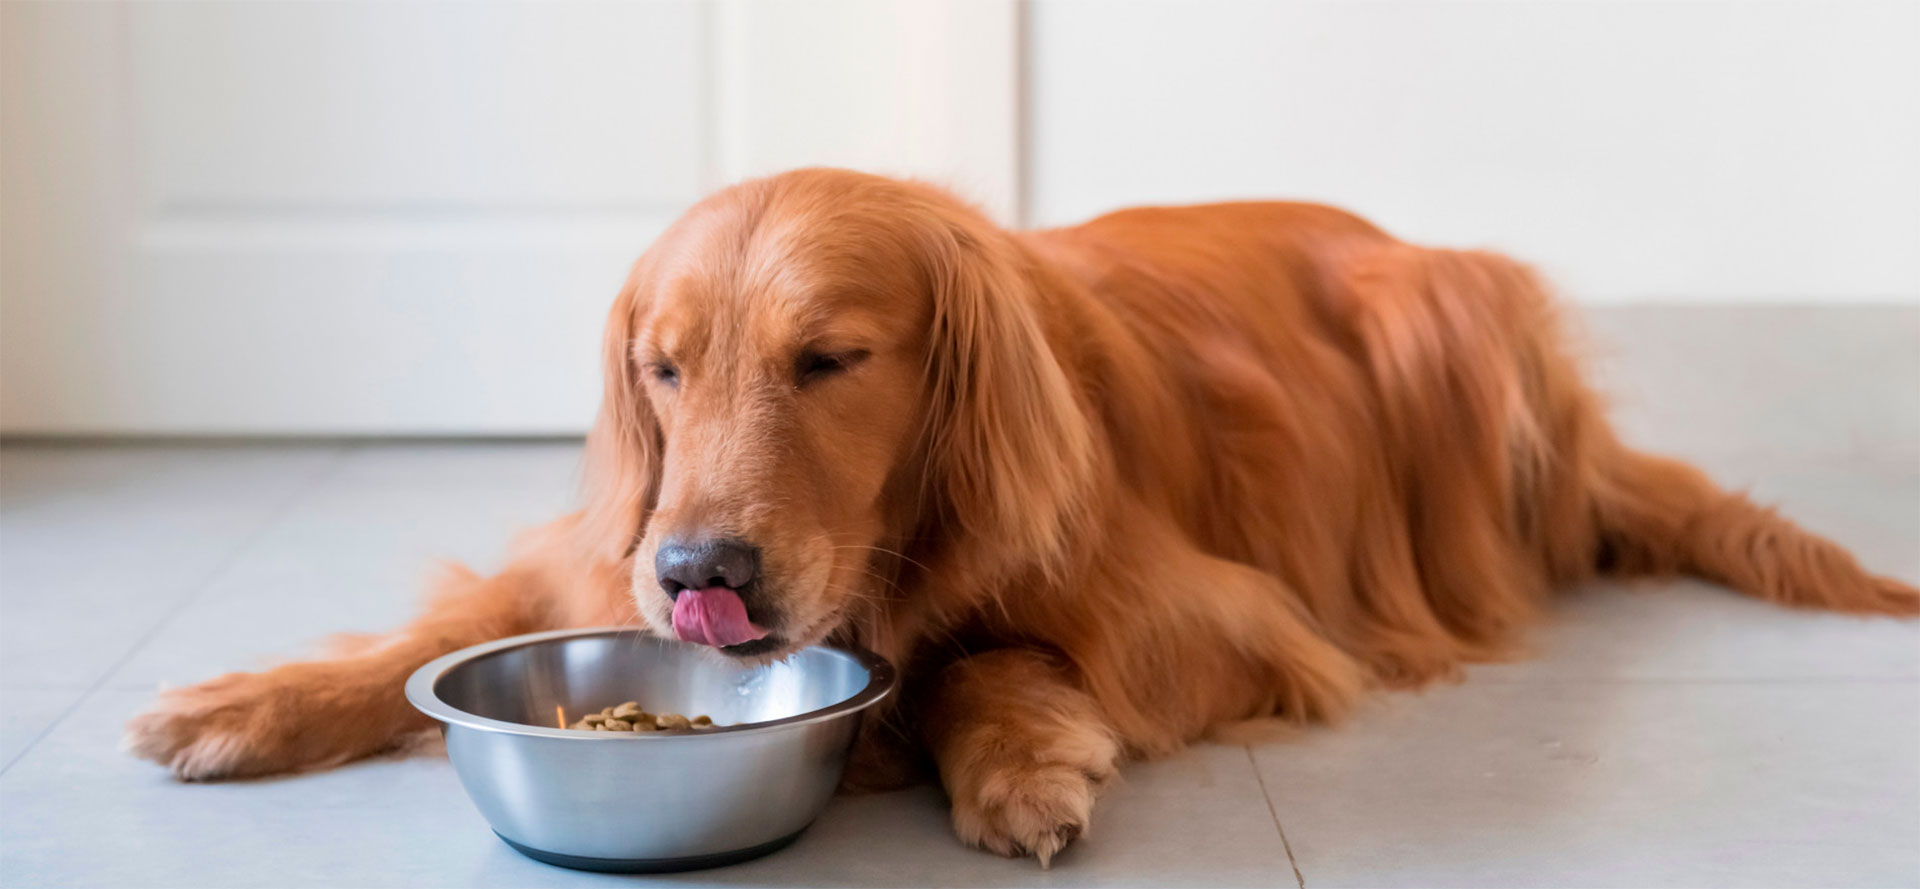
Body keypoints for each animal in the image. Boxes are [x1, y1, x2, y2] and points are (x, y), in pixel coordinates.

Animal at [127, 168, 1912, 871]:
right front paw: (248, 700)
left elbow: (989, 654)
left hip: (1449, 320)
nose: (701, 572)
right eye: (665, 366)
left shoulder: (1224, 617)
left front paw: (1014, 761)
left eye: (829, 359)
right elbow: (441, 632)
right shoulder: (601, 545)